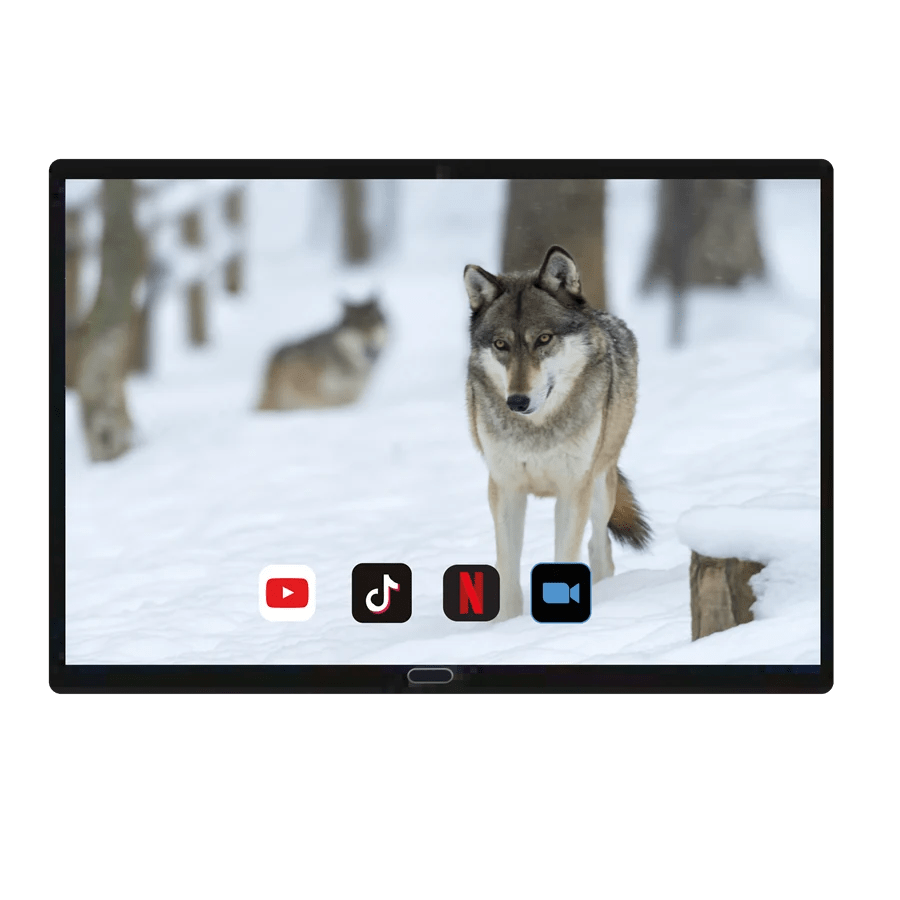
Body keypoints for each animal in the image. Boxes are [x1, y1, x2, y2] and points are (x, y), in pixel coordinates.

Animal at [464, 245, 651, 619]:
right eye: (501, 345)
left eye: (544, 339)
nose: (517, 401)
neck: (536, 431)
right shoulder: (505, 489)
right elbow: (507, 571)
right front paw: (506, 625)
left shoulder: (573, 489)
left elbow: (567, 555)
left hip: (600, 485)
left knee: (599, 547)